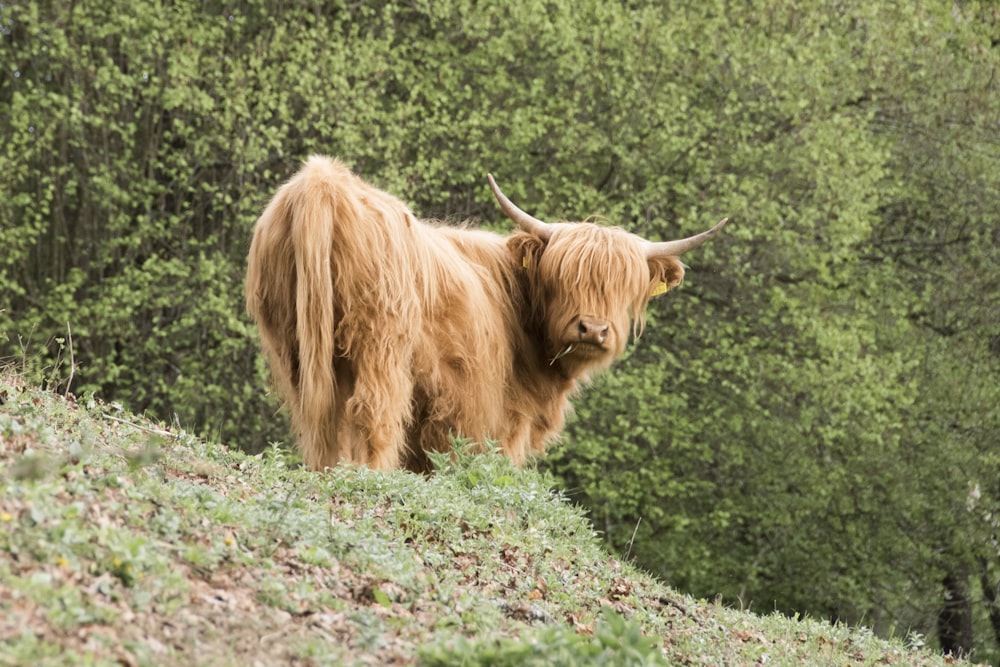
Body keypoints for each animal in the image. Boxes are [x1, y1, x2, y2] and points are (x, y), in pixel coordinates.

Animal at [244, 157, 728, 472]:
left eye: (623, 285)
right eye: (562, 277)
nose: (593, 328)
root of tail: (323, 182)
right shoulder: (497, 419)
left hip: (296, 345)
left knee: (319, 420)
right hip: (381, 344)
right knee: (374, 414)